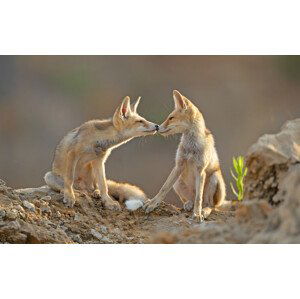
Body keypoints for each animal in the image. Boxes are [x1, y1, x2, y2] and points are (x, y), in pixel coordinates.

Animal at [144, 89, 226, 223]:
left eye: (171, 118)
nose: (157, 127)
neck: (191, 148)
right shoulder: (179, 165)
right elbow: (163, 188)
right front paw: (152, 203)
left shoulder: (200, 170)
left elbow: (198, 197)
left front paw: (197, 214)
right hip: (177, 182)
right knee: (190, 200)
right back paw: (188, 204)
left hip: (215, 178)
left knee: (210, 205)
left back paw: (204, 211)